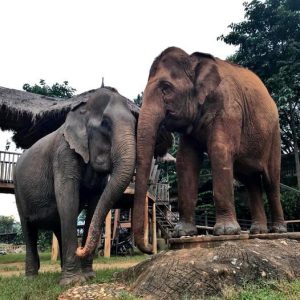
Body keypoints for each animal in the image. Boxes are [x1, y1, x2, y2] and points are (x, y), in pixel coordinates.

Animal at [13, 87, 136, 286]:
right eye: (105, 124)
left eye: (135, 124)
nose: (81, 249)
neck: (82, 111)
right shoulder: (63, 153)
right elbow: (67, 195)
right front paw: (72, 282)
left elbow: (95, 201)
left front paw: (88, 276)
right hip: (18, 190)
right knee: (28, 229)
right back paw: (31, 278)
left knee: (57, 225)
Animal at [133, 47, 286, 253]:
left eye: (166, 88)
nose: (150, 249)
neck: (193, 61)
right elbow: (185, 160)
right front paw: (182, 233)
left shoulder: (229, 106)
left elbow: (219, 151)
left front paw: (226, 232)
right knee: (251, 181)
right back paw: (258, 232)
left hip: (274, 136)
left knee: (271, 180)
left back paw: (278, 231)